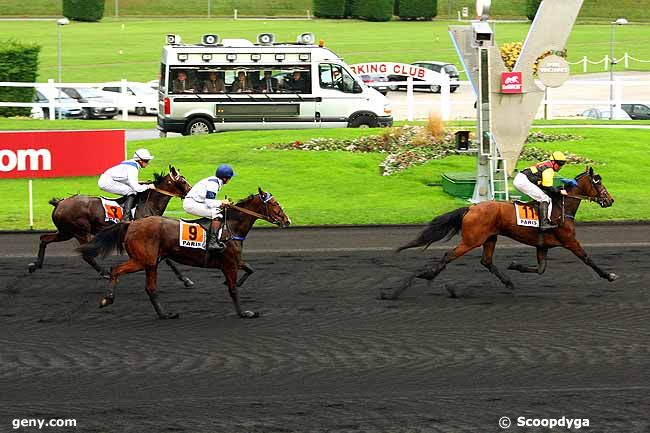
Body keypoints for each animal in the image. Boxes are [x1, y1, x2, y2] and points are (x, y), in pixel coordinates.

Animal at [27, 164, 194, 286]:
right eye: (183, 181)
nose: (191, 192)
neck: (148, 204)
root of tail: (60, 203)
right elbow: (167, 259)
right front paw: (185, 279)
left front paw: (186, 279)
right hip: (80, 232)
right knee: (87, 255)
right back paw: (105, 273)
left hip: (65, 232)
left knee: (44, 239)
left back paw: (35, 265)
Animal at [77, 187, 290, 318]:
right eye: (275, 204)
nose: (287, 220)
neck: (230, 227)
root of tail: (131, 224)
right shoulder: (229, 263)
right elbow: (233, 290)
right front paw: (244, 313)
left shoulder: (234, 261)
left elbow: (250, 269)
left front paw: (237, 283)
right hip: (143, 260)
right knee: (116, 270)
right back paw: (107, 299)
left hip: (151, 262)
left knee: (150, 289)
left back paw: (165, 314)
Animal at [382, 167, 616, 298]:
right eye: (598, 183)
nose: (610, 200)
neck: (561, 207)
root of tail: (471, 208)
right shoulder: (569, 241)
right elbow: (587, 259)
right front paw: (609, 275)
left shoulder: (542, 246)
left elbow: (540, 269)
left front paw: (515, 265)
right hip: (472, 240)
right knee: (448, 256)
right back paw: (423, 277)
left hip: (490, 238)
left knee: (486, 261)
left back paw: (507, 281)